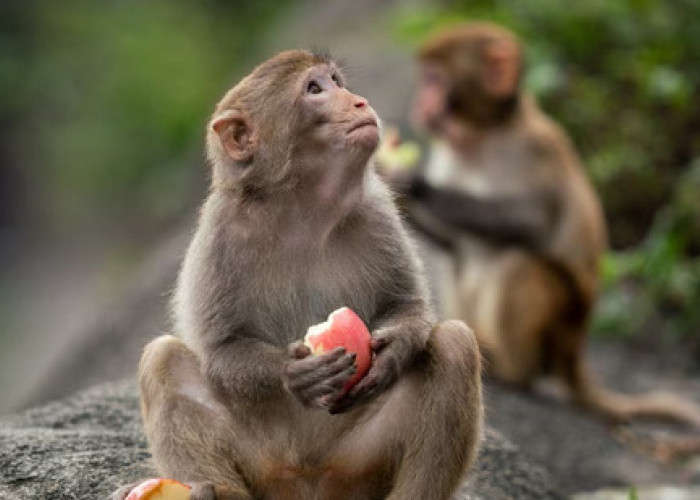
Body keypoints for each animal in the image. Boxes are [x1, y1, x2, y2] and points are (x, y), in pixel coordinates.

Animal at [110, 50, 482, 500]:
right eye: (314, 89)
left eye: (336, 81)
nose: (358, 101)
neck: (303, 210)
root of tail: (310, 483)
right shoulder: (219, 235)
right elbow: (221, 347)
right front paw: (292, 373)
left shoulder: (377, 210)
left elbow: (407, 304)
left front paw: (391, 352)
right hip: (266, 468)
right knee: (162, 358)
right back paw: (208, 491)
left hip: (358, 466)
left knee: (455, 345)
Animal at [380, 23, 700, 428]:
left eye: (435, 80)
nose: (420, 104)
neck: (481, 135)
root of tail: (574, 348)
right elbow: (452, 242)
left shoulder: (534, 148)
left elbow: (533, 220)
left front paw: (410, 181)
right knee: (460, 260)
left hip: (560, 322)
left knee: (519, 260)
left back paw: (509, 369)